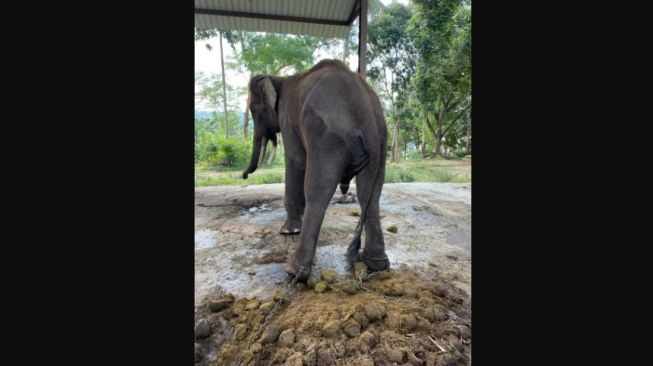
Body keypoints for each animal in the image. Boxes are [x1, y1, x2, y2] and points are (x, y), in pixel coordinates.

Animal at [242, 59, 390, 280]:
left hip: (328, 139)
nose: (244, 176)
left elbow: (296, 160)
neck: (279, 79)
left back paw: (295, 271)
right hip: (380, 143)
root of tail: (368, 117)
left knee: (318, 192)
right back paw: (376, 263)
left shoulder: (287, 118)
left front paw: (289, 231)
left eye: (253, 110)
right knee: (370, 195)